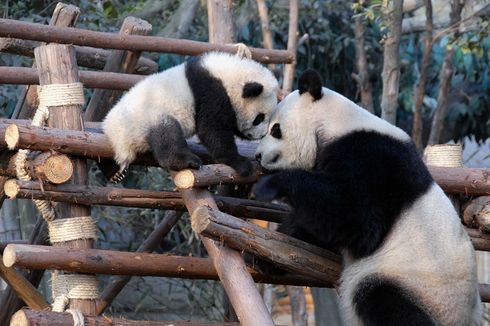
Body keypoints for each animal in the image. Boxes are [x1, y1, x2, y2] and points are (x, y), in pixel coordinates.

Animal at [101, 52, 278, 182]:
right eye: (259, 118)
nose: (261, 135)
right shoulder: (211, 91)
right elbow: (211, 129)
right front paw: (240, 163)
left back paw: (114, 173)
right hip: (149, 117)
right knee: (167, 136)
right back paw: (187, 161)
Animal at [253, 70, 482, 324]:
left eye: (275, 129)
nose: (257, 156)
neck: (336, 122)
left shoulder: (371, 161)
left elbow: (358, 222)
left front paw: (273, 184)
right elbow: (318, 226)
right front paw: (266, 258)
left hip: (417, 285)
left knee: (382, 300)